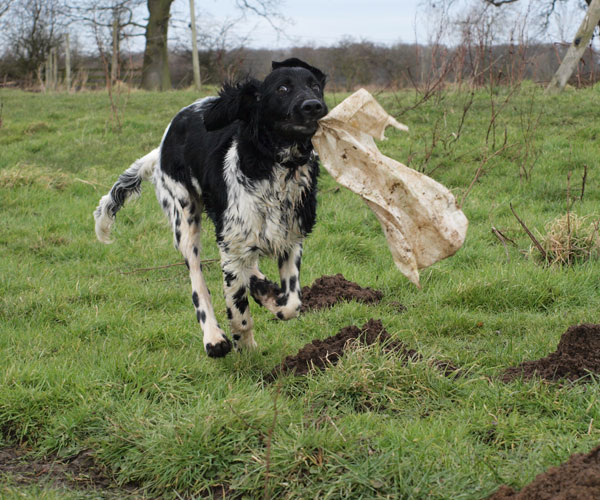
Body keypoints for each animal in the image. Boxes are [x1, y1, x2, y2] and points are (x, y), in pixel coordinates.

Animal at [94, 57, 328, 356]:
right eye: (283, 88)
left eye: (315, 86)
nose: (313, 105)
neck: (275, 169)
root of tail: (161, 147)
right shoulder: (233, 243)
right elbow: (238, 310)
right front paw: (244, 341)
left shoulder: (290, 238)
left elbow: (291, 304)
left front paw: (266, 293)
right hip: (184, 218)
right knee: (198, 280)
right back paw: (214, 337)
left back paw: (258, 284)